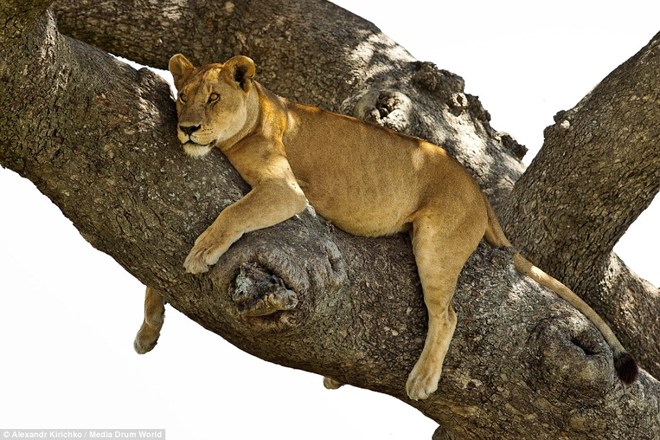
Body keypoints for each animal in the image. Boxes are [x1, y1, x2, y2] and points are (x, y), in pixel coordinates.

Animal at [133, 54, 638, 400]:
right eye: (183, 97)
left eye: (214, 98)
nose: (187, 128)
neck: (260, 111)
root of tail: (475, 187)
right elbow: (157, 278)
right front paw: (148, 330)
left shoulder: (286, 190)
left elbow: (232, 215)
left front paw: (202, 253)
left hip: (435, 244)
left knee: (447, 314)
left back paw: (422, 379)